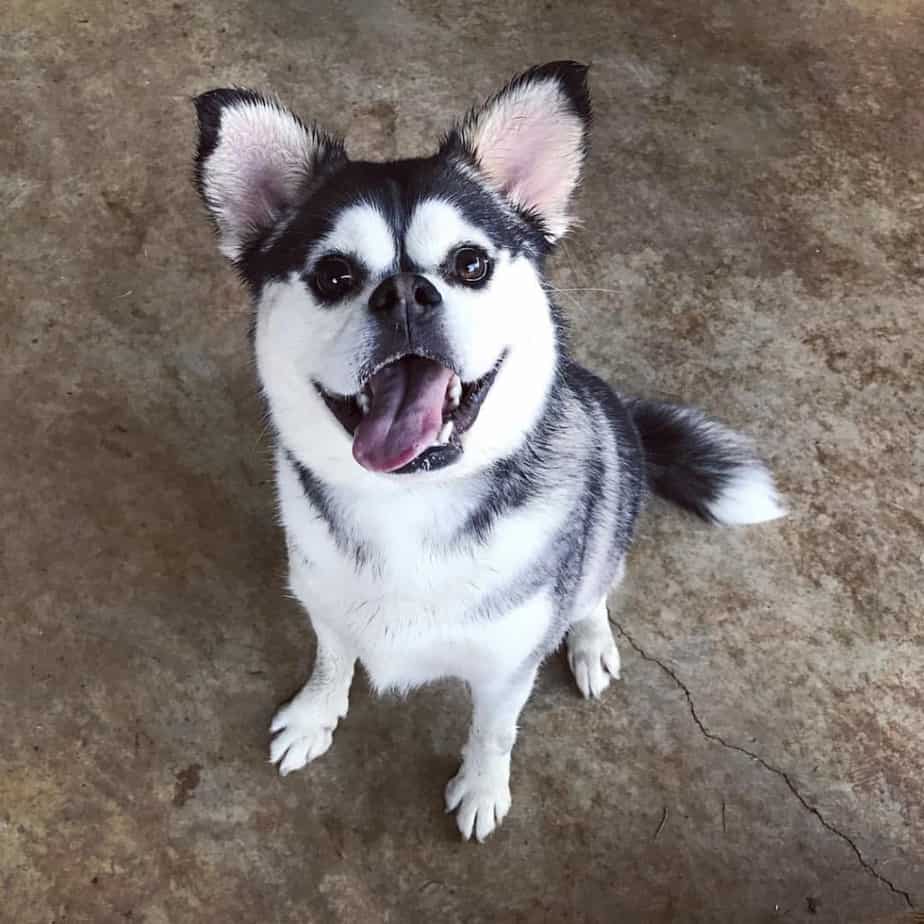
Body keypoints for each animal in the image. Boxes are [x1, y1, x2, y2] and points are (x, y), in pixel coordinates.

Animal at [191, 61, 784, 840]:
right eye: (334, 276)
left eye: (470, 264)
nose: (405, 294)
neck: (410, 504)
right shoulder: (326, 606)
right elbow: (331, 661)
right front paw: (316, 717)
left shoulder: (507, 668)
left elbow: (494, 731)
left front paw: (480, 787)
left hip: (611, 502)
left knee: (599, 585)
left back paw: (590, 643)